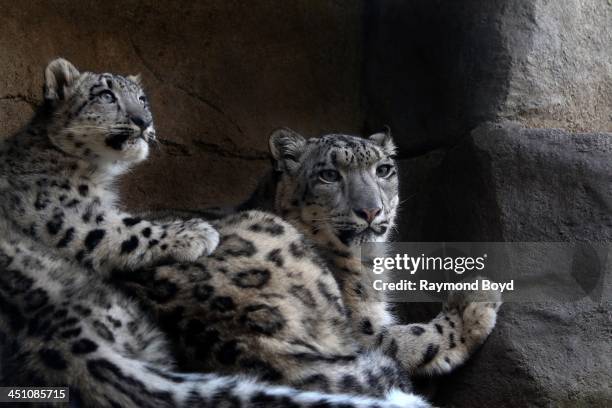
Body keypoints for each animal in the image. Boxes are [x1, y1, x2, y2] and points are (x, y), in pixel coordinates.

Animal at [0, 59, 420, 406]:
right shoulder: (369, 329)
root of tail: (242, 336)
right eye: (329, 175)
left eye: (384, 169)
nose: (371, 210)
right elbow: (415, 338)